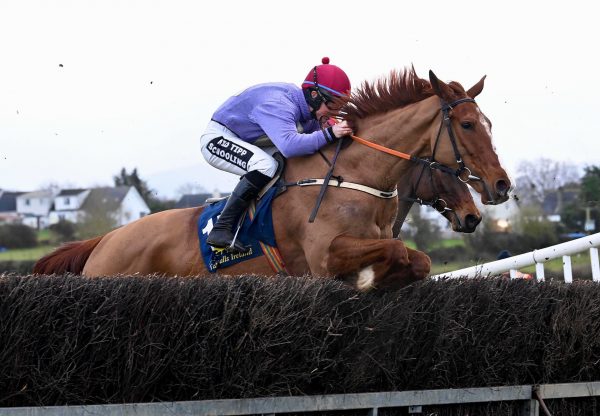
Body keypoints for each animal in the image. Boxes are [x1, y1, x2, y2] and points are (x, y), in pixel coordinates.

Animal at [36, 68, 506, 290]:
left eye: (489, 123)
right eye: (467, 125)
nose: (500, 186)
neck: (353, 178)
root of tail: (104, 240)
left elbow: (420, 260)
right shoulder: (324, 255)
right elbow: (391, 252)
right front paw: (369, 279)